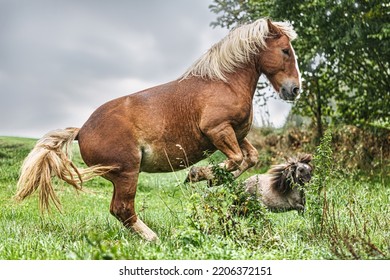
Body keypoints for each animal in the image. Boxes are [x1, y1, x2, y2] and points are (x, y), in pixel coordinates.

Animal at [15, 18, 302, 241]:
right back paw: (153, 237)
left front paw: (215, 179)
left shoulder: (237, 134)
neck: (224, 82)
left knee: (118, 209)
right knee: (122, 209)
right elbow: (236, 159)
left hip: (120, 176)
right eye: (285, 51)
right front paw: (199, 175)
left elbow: (249, 158)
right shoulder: (218, 131)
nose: (294, 90)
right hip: (127, 172)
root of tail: (81, 130)